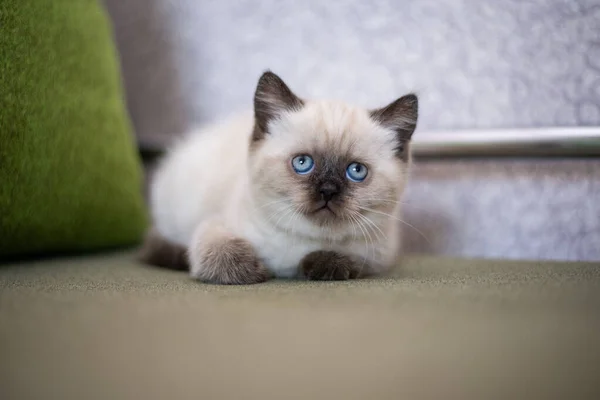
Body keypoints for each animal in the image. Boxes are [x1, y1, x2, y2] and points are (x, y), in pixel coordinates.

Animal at [143, 72, 420, 284]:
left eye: (356, 171)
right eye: (302, 163)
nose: (328, 191)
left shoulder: (377, 256)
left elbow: (342, 260)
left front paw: (325, 264)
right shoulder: (215, 226)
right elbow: (222, 254)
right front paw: (255, 272)